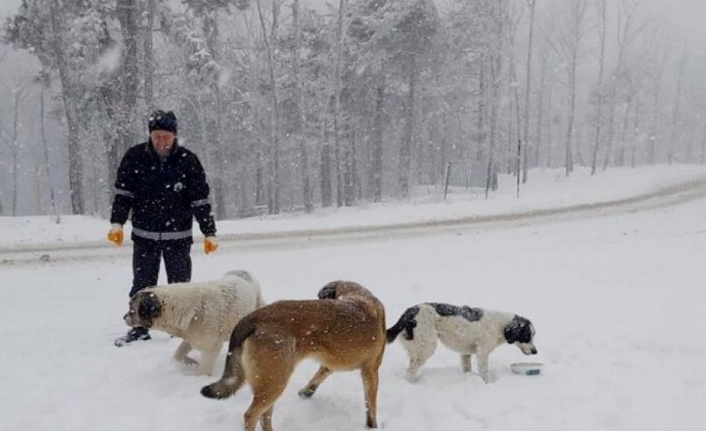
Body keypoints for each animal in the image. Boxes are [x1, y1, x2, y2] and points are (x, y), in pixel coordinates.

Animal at [122, 270, 266, 374]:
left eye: (132, 309)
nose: (124, 317)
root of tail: (242, 273)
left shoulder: (211, 347)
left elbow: (204, 370)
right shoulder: (191, 338)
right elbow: (178, 355)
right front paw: (192, 363)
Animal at [198, 280, 384, 431]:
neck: (359, 295)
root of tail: (252, 318)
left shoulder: (329, 365)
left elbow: (318, 377)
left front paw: (307, 392)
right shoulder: (371, 371)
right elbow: (371, 406)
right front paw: (372, 426)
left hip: (272, 381)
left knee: (264, 416)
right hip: (275, 381)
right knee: (251, 415)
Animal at [382, 302, 536, 384]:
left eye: (533, 335)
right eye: (527, 336)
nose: (536, 351)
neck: (499, 324)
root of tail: (408, 313)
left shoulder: (465, 353)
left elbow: (467, 369)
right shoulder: (482, 352)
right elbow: (484, 372)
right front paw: (488, 384)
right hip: (427, 347)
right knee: (410, 371)